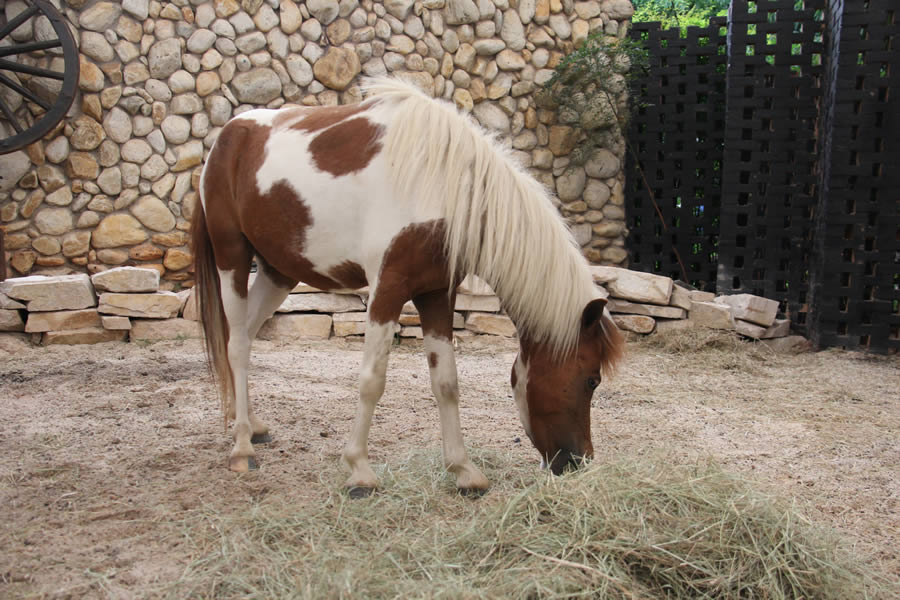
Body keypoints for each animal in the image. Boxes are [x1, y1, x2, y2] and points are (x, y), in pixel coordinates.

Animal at [190, 77, 624, 494]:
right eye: (592, 379)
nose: (577, 462)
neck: (444, 186)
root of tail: (227, 137)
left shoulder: (436, 294)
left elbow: (446, 381)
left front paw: (464, 471)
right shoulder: (387, 290)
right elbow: (372, 381)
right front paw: (360, 471)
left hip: (278, 271)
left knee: (244, 336)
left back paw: (250, 425)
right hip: (232, 258)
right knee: (237, 344)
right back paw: (242, 447)